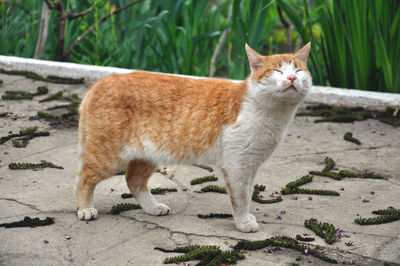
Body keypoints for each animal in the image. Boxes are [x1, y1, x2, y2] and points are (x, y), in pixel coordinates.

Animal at [75, 42, 312, 232]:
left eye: (298, 70)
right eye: (278, 71)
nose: (292, 78)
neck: (270, 112)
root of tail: (99, 84)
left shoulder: (251, 166)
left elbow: (249, 191)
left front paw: (246, 217)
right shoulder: (238, 166)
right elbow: (241, 197)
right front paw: (243, 222)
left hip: (147, 155)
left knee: (133, 180)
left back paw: (153, 207)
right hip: (108, 156)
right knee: (84, 177)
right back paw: (85, 208)